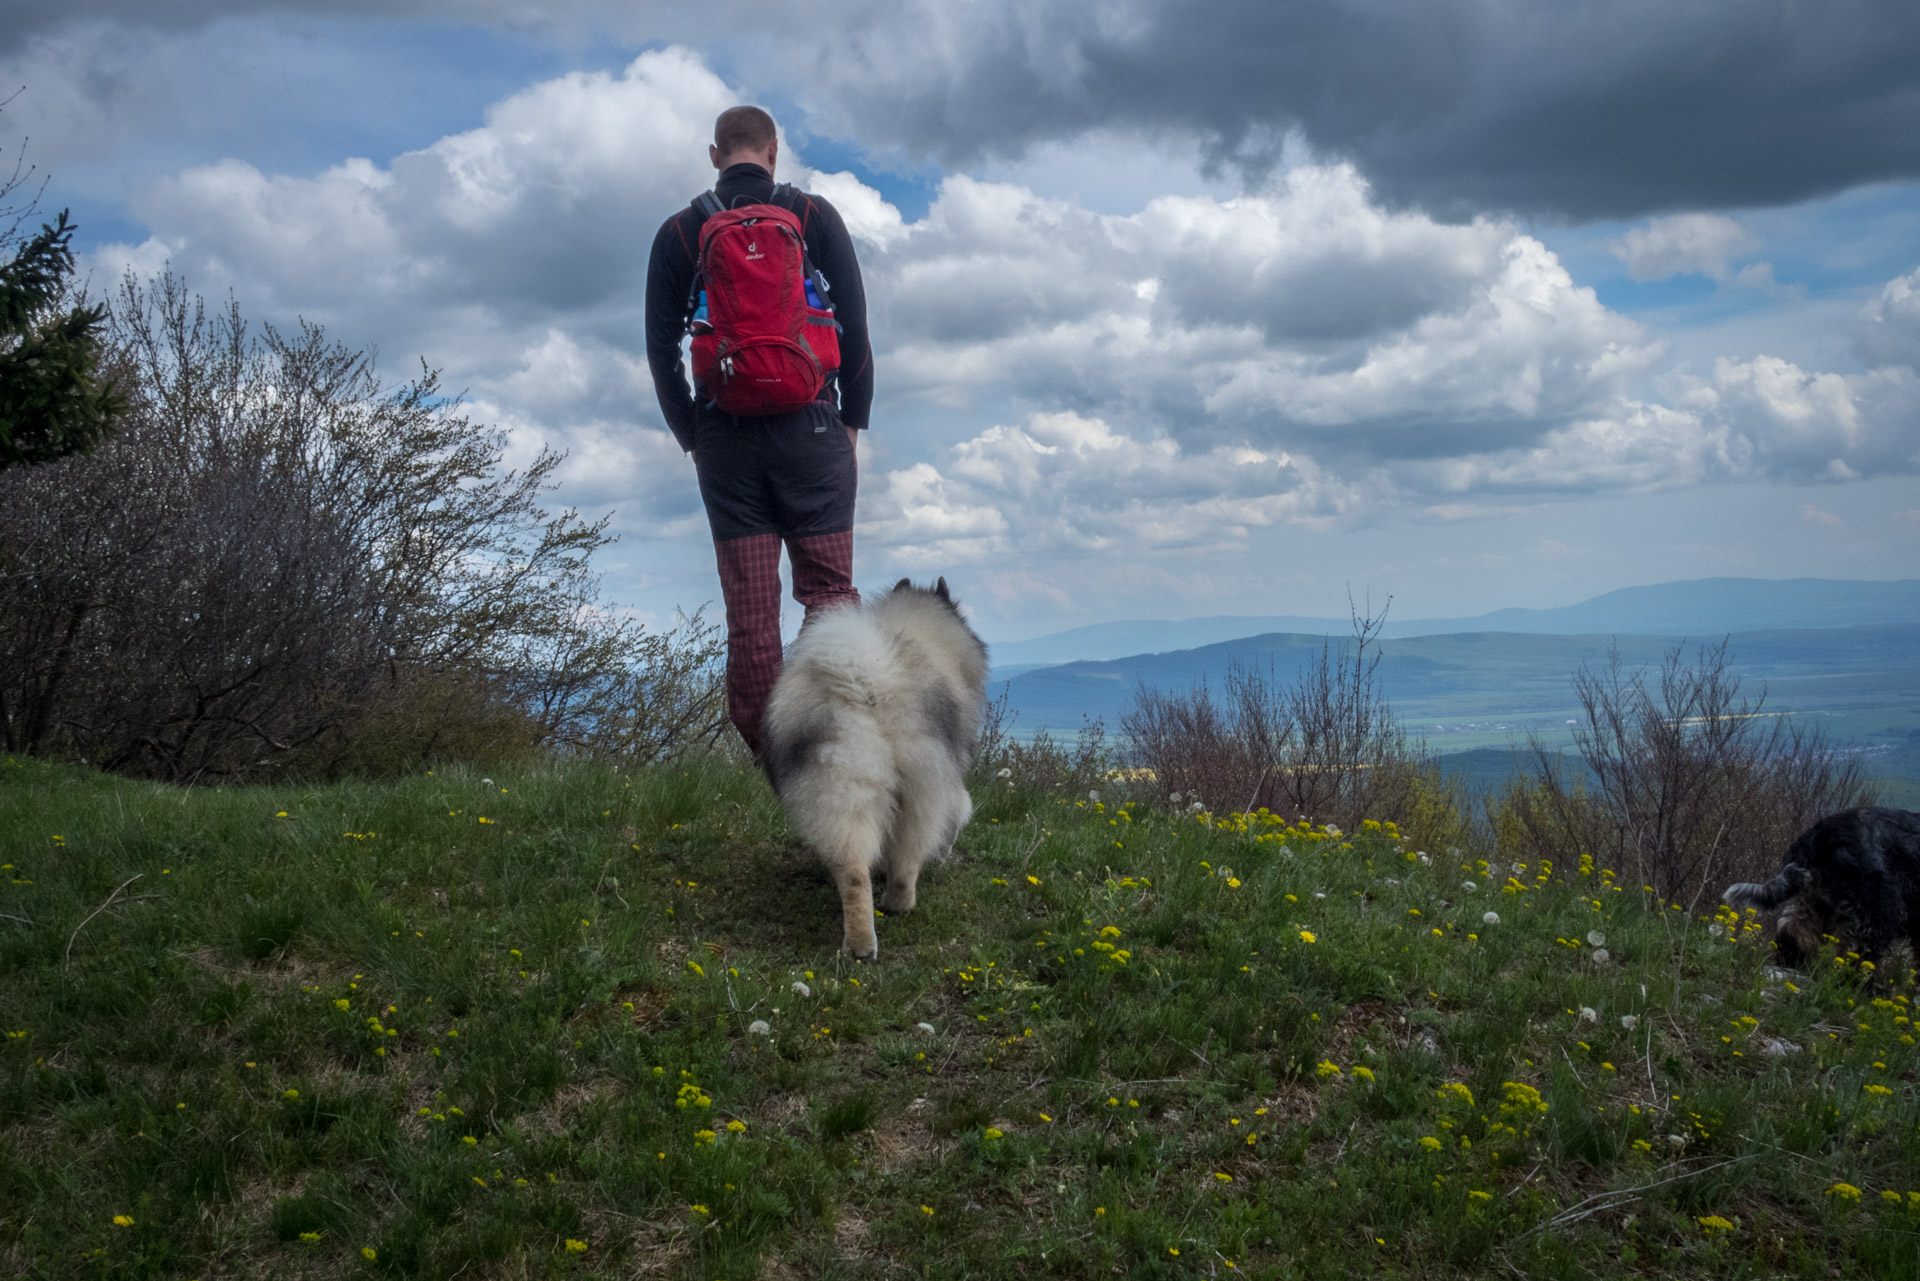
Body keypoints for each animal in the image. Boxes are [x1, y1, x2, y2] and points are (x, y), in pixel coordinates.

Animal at [760, 576, 990, 956]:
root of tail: (868, 682)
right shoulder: (951, 781)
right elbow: (957, 816)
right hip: (922, 790)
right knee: (908, 860)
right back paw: (897, 906)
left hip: (841, 791)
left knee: (854, 873)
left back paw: (860, 943)